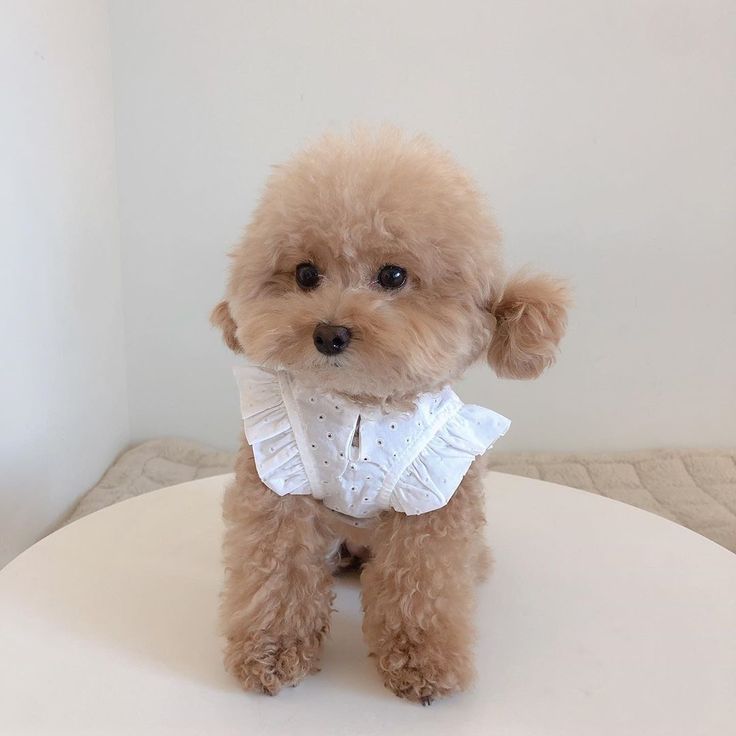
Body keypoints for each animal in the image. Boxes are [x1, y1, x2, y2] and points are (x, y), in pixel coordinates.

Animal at [213, 126, 568, 700]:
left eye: (393, 274)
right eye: (305, 273)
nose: (329, 333)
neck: (359, 406)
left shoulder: (433, 504)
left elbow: (422, 584)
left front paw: (422, 663)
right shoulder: (276, 489)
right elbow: (276, 575)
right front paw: (271, 653)